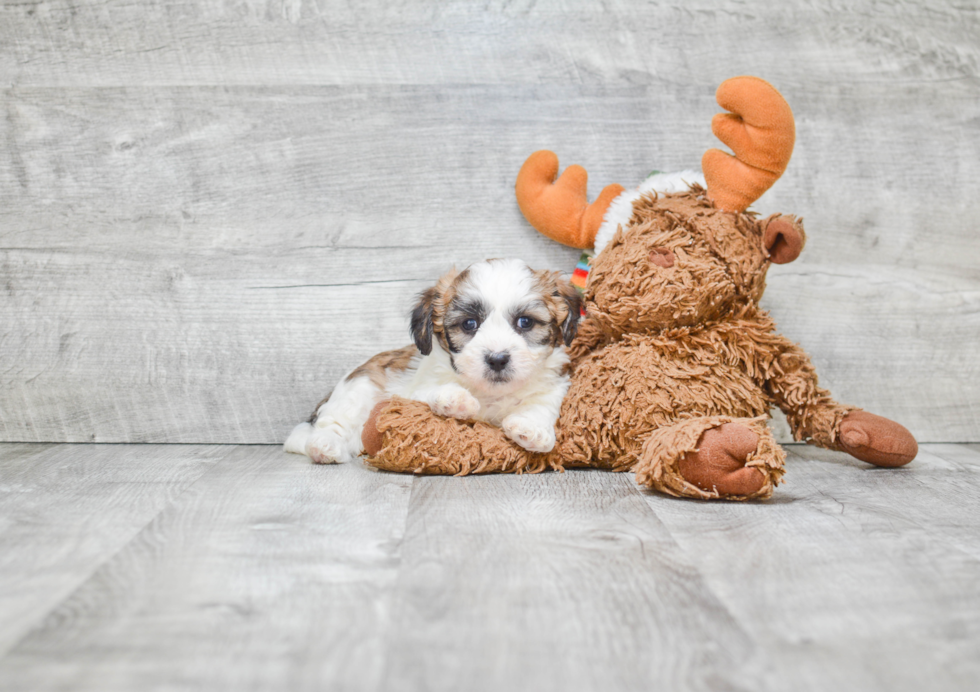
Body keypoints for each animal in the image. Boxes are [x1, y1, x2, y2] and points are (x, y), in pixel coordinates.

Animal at [282, 256, 580, 462]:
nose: (497, 359)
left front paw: (533, 429)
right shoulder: (414, 390)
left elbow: (541, 404)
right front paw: (455, 399)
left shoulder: (554, 386)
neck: (488, 393)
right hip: (357, 390)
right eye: (469, 324)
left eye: (525, 322)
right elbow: (430, 393)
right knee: (330, 425)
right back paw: (325, 446)